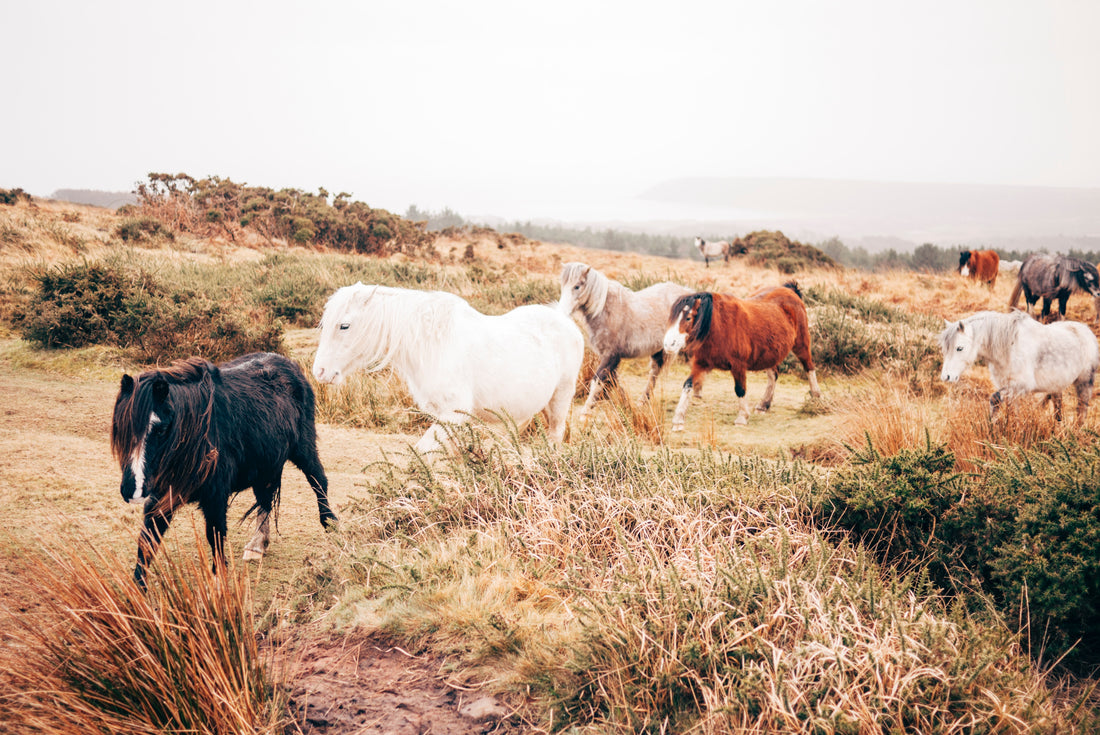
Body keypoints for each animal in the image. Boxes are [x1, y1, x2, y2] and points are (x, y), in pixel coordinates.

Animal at [111, 352, 338, 589]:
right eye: (121, 427)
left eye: (161, 428)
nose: (132, 490)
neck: (199, 434)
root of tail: (290, 366)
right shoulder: (161, 495)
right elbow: (147, 540)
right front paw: (138, 591)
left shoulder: (215, 497)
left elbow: (216, 537)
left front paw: (219, 586)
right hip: (265, 464)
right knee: (265, 499)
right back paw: (257, 545)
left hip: (303, 448)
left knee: (318, 480)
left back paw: (330, 524)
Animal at [313, 283, 584, 453]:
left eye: (344, 326)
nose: (320, 372)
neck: (432, 345)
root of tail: (564, 319)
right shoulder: (444, 418)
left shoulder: (453, 414)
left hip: (560, 399)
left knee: (555, 436)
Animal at [558, 262, 694, 421]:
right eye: (563, 285)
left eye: (577, 286)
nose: (562, 312)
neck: (607, 310)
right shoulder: (611, 358)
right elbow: (614, 381)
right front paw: (626, 404)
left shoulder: (610, 355)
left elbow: (597, 381)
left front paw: (586, 412)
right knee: (654, 373)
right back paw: (642, 401)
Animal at [662, 282, 821, 430]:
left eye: (688, 318)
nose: (669, 344)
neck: (719, 326)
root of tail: (790, 291)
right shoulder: (702, 364)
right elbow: (687, 385)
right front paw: (678, 420)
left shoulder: (738, 365)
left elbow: (740, 389)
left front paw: (742, 417)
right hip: (770, 353)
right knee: (773, 375)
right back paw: (764, 404)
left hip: (801, 344)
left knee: (809, 367)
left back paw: (816, 399)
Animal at [938, 310, 1099, 422]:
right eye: (944, 349)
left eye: (959, 348)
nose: (946, 377)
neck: (1010, 347)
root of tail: (1087, 332)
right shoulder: (1010, 389)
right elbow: (1011, 411)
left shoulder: (1019, 387)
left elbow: (994, 398)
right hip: (1057, 386)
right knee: (1058, 410)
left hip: (1084, 383)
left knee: (1081, 412)